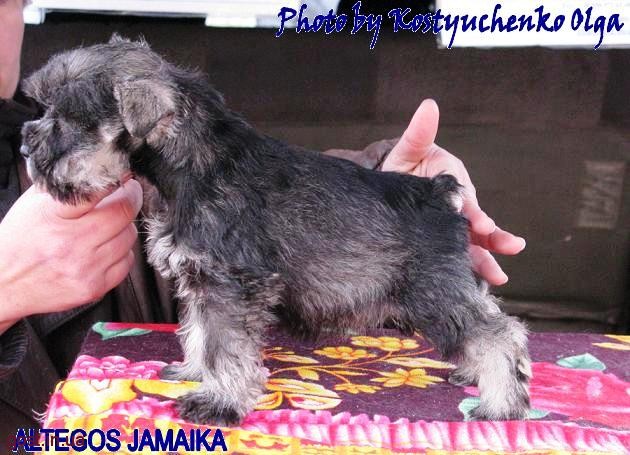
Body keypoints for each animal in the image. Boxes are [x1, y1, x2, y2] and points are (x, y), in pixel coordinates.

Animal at [21, 36, 531, 425]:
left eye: (69, 120)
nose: (27, 145)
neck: (193, 166)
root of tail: (441, 191)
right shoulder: (203, 282)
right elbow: (201, 335)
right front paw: (194, 373)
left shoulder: (231, 285)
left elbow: (226, 347)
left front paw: (219, 402)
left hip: (433, 292)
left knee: (498, 334)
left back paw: (501, 406)